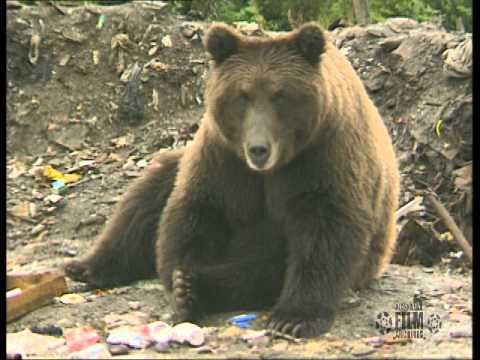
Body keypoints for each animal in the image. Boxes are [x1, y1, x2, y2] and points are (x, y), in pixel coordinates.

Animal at [64, 22, 402, 338]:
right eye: (243, 95)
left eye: (280, 95)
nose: (259, 149)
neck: (273, 168)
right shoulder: (223, 158)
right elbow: (195, 212)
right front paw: (181, 289)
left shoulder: (323, 157)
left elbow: (325, 230)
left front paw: (294, 317)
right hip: (176, 166)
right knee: (144, 199)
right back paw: (89, 267)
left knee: (262, 272)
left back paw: (202, 285)